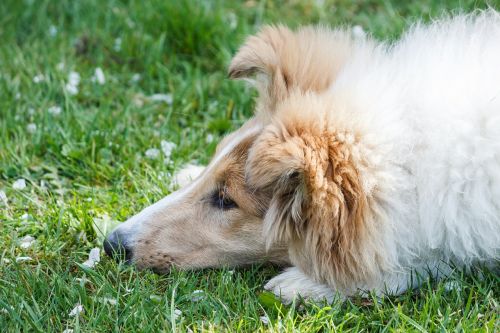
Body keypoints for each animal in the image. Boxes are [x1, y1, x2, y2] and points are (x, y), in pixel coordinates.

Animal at [103, 11, 498, 300]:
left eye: (227, 200)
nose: (111, 244)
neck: (409, 152)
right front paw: (188, 170)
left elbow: (425, 259)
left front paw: (304, 283)